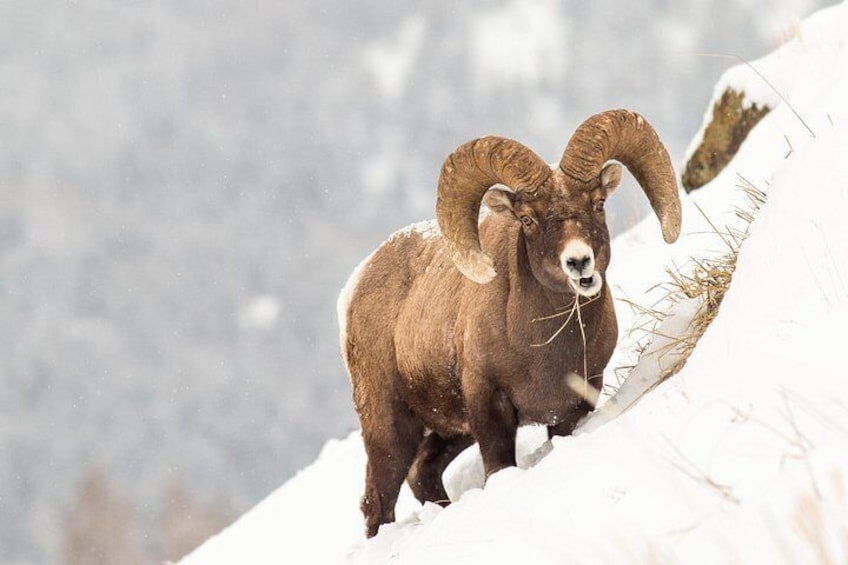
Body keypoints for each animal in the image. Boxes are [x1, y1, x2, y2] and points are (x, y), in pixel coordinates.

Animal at [338, 110, 682, 537]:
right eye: (528, 219)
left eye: (598, 202)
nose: (579, 262)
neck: (545, 346)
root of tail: (354, 287)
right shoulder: (490, 405)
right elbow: (499, 466)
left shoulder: (574, 404)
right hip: (389, 427)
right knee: (378, 502)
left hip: (451, 432)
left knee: (422, 474)